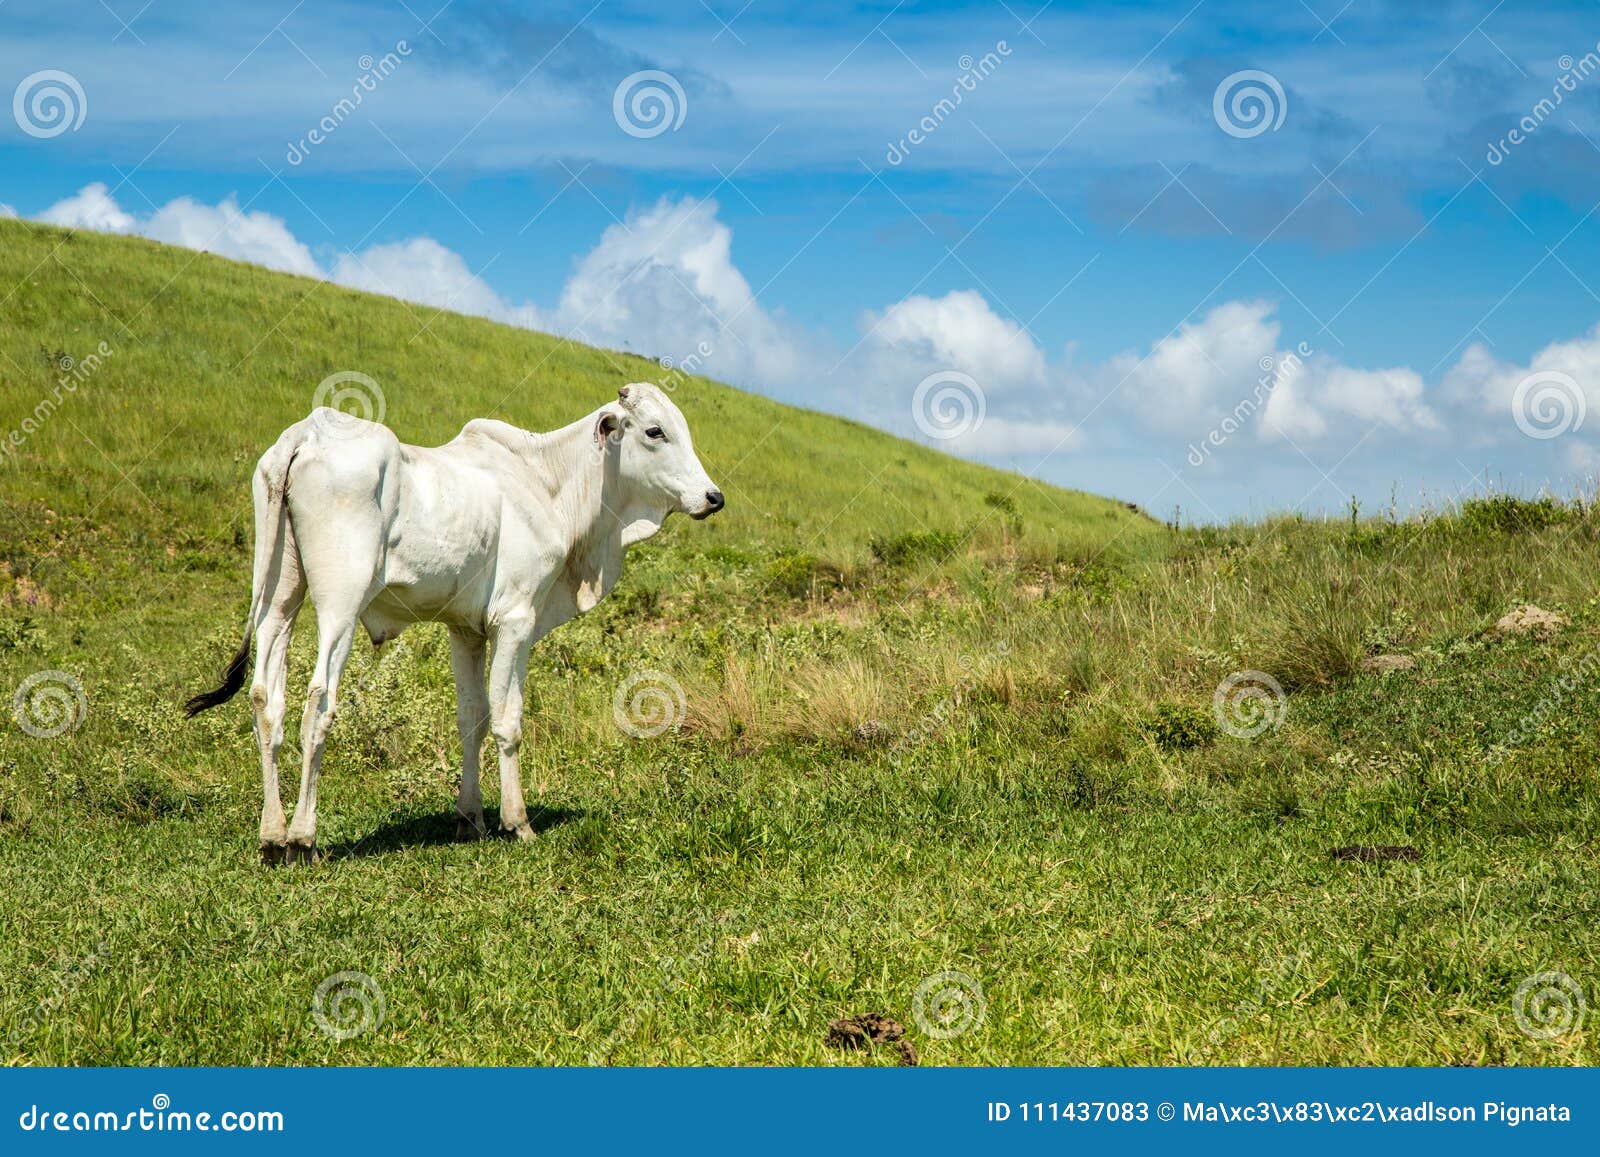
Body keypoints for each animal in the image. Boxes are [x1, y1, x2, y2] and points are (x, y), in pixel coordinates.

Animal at [183, 384, 726, 864]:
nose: (713, 496)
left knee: (266, 699)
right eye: (655, 431)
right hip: (340, 601)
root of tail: (307, 432)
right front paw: (516, 822)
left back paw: (272, 836)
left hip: (279, 596)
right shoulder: (515, 620)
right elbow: (508, 720)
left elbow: (473, 717)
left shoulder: (466, 630)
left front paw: (471, 818)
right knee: (318, 701)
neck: (548, 483)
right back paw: (303, 837)